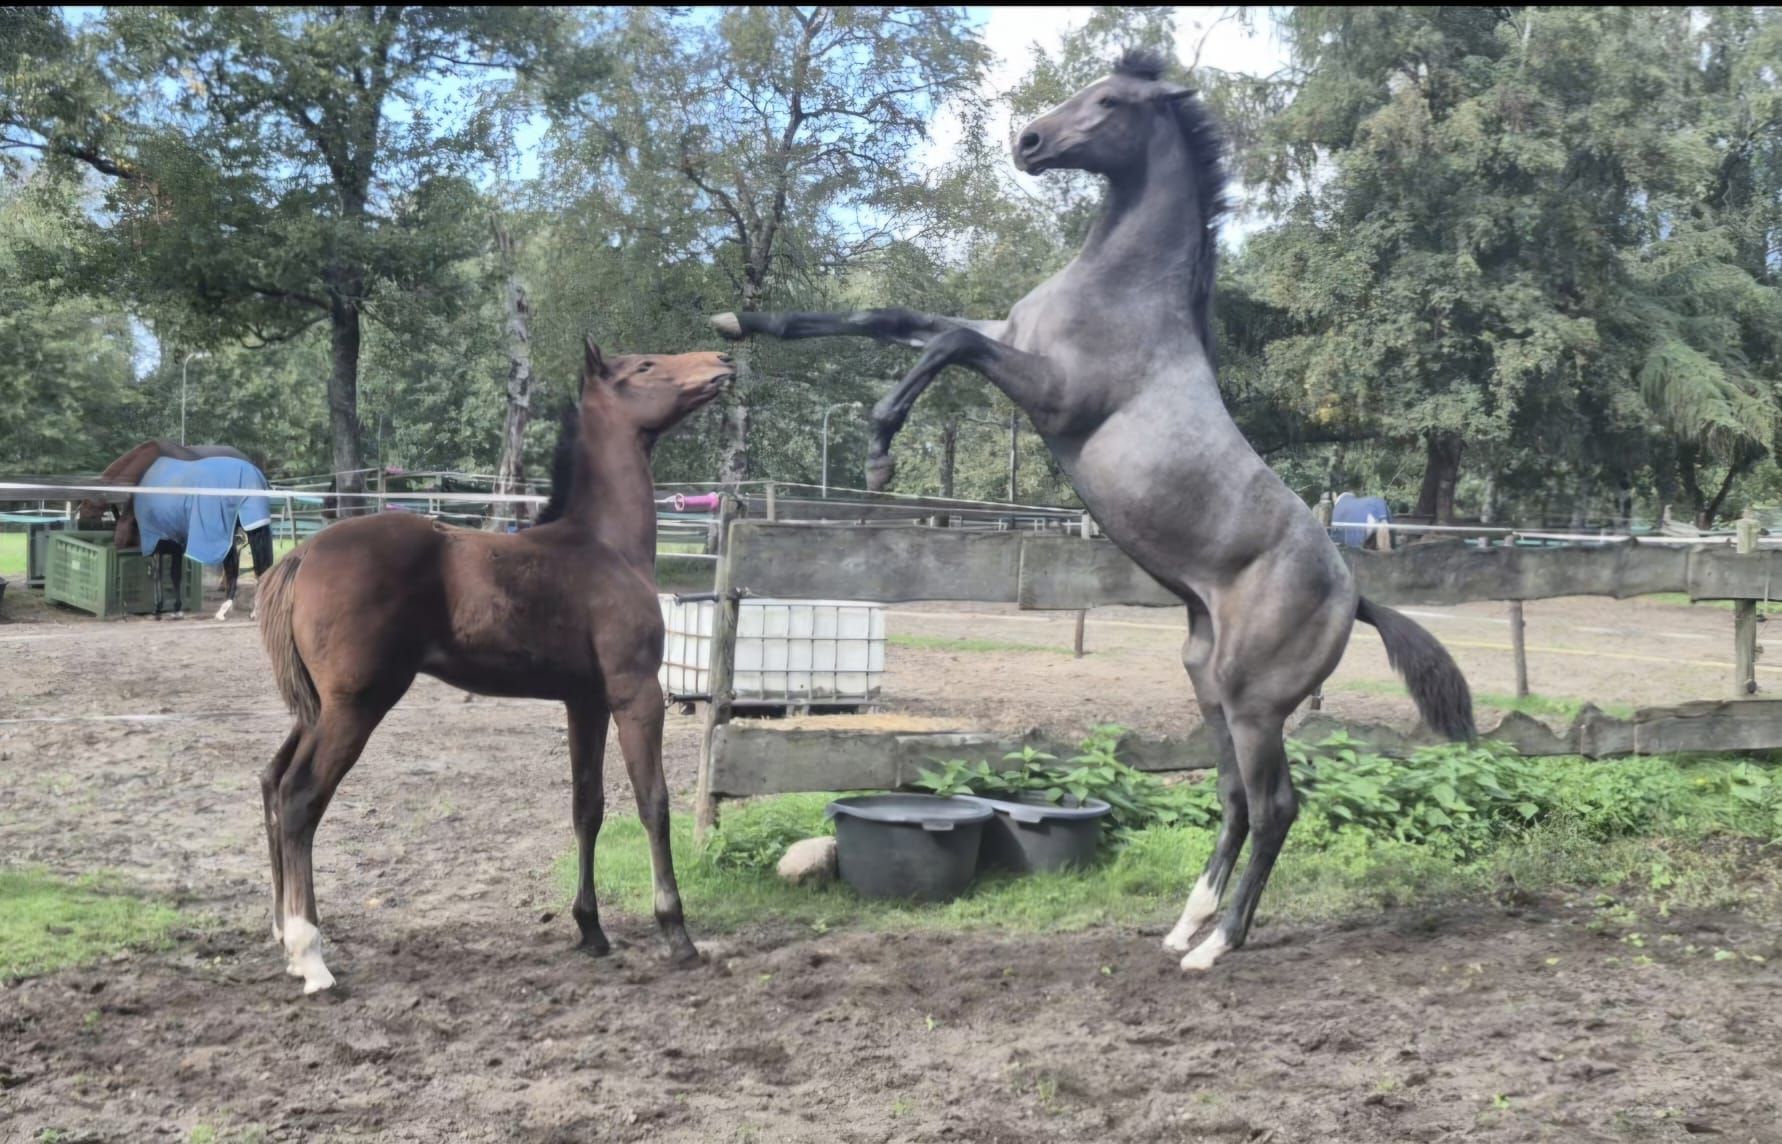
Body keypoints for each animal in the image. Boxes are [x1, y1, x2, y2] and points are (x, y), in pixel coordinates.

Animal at [116, 455, 276, 622]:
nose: (116, 544)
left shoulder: (156, 543)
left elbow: (158, 575)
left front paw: (158, 610)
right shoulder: (176, 545)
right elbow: (175, 575)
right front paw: (176, 609)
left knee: (237, 567)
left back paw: (229, 610)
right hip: (253, 527)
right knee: (255, 567)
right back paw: (246, 610)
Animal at [255, 335, 730, 993]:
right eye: (645, 366)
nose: (721, 364)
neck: (604, 546)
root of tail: (300, 555)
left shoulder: (584, 701)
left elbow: (587, 807)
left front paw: (591, 930)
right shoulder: (635, 693)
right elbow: (653, 802)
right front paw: (676, 933)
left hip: (317, 709)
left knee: (272, 783)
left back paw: (283, 935)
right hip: (356, 706)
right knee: (300, 798)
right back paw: (311, 957)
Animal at [710, 50, 1475, 972]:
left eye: (1110, 102)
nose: (1029, 142)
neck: (1121, 293)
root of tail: (1353, 593)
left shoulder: (1051, 392)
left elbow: (947, 344)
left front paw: (881, 445)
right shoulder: (1003, 338)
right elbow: (889, 314)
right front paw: (738, 319)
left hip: (1256, 703)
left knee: (1277, 807)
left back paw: (1216, 948)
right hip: (1209, 688)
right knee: (1235, 799)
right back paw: (1184, 926)